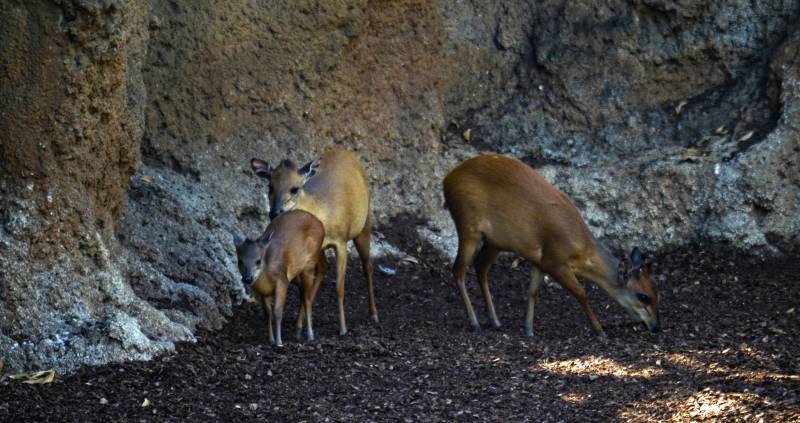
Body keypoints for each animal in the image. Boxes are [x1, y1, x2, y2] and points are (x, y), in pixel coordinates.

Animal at [234, 210, 324, 346]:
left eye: (258, 261)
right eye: (240, 261)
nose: (247, 279)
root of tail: (320, 223)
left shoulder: (282, 280)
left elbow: (277, 312)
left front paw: (279, 341)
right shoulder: (265, 292)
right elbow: (267, 313)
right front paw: (270, 339)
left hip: (309, 265)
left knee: (308, 298)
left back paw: (310, 335)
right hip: (295, 274)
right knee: (302, 293)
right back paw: (298, 331)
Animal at [440, 156, 660, 338]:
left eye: (656, 292)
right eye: (643, 296)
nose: (656, 327)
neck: (581, 249)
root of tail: (446, 181)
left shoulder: (540, 261)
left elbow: (533, 291)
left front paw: (528, 329)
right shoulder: (555, 261)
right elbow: (581, 292)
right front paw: (600, 331)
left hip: (495, 241)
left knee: (480, 267)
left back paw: (495, 320)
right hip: (468, 226)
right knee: (458, 270)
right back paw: (474, 322)